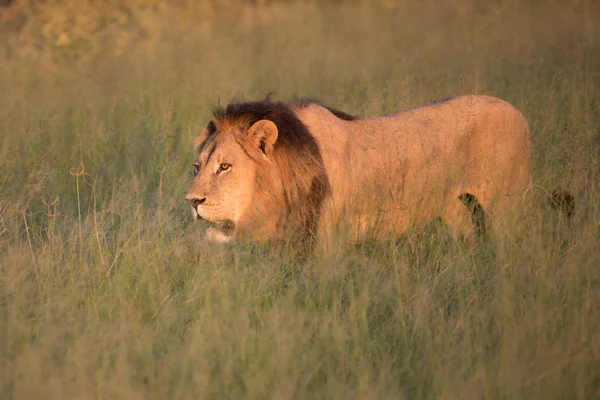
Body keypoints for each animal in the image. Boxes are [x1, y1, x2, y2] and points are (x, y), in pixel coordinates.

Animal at [184, 95, 572, 247]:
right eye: (197, 166)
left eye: (225, 167)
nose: (191, 201)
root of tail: (518, 112)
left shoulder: (326, 238)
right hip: (459, 211)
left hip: (508, 206)